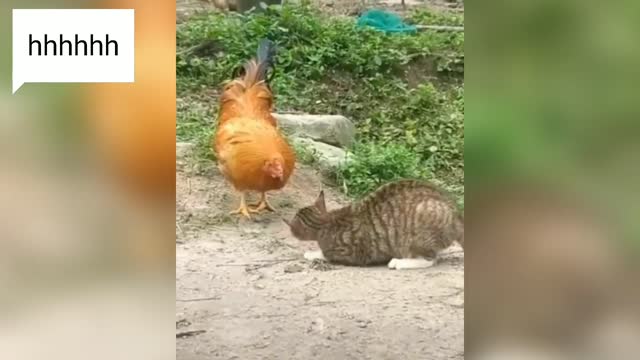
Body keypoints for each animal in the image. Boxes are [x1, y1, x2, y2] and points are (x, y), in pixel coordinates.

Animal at [286, 180, 464, 270]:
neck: (326, 222)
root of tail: (456, 213)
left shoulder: (352, 253)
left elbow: (326, 254)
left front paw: (312, 253)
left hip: (421, 227)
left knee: (431, 259)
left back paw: (399, 262)